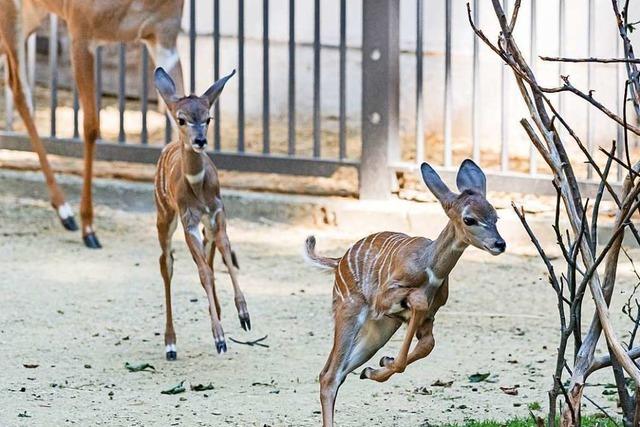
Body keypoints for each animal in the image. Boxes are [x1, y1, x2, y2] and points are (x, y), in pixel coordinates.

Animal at [0, 0, 185, 249]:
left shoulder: (164, 36)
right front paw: (88, 228)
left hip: (32, 15)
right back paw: (66, 212)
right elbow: (90, 127)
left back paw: (63, 212)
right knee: (20, 92)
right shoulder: (80, 29)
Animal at [152, 67, 250, 362]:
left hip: (205, 227)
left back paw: (216, 310)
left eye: (208, 118)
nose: (200, 140)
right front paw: (219, 338)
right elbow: (203, 272)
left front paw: (243, 314)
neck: (198, 188)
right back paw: (170, 344)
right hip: (164, 217)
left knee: (209, 257)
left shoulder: (218, 214)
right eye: (181, 119)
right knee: (167, 263)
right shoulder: (189, 222)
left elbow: (226, 257)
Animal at [304, 160, 504, 427]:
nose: (500, 244)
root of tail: (338, 262)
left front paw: (378, 366)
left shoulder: (427, 317)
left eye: (495, 216)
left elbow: (428, 345)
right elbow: (417, 303)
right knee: (328, 375)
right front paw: (385, 362)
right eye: (469, 219)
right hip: (349, 310)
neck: (429, 270)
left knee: (339, 372)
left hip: (380, 329)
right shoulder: (384, 300)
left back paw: (367, 369)